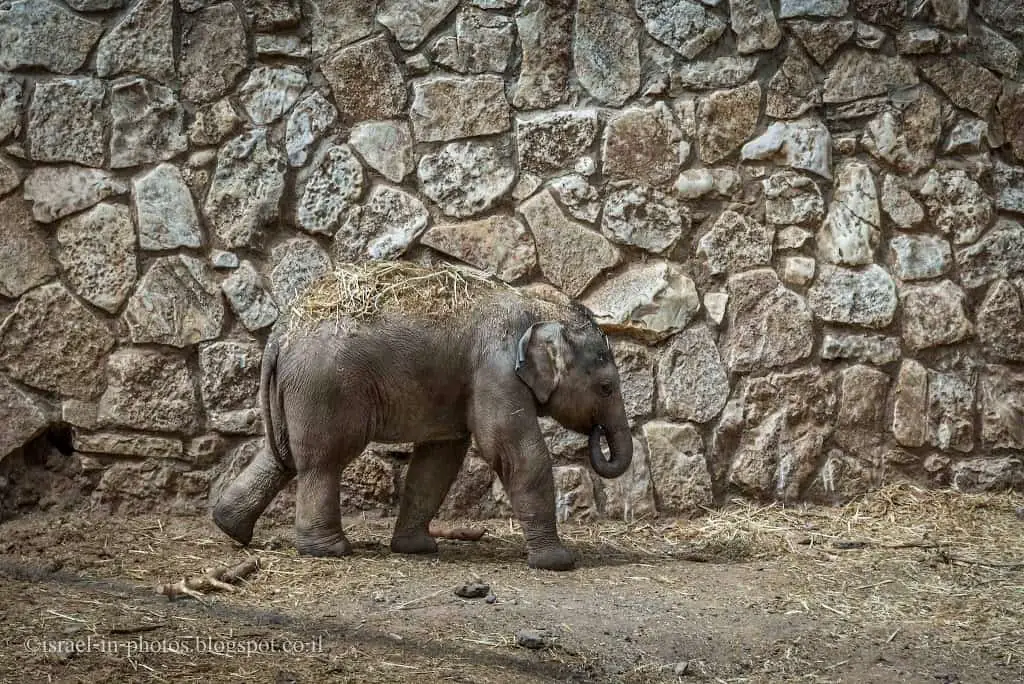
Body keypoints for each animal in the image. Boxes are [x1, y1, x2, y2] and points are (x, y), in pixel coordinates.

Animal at [212, 264, 630, 573]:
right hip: (324, 389)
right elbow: (513, 451)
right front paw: (559, 563)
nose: (596, 434)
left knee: (279, 455)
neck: (540, 306)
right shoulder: (496, 371)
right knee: (322, 461)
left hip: (296, 392)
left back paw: (230, 527)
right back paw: (330, 551)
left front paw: (416, 548)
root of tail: (280, 335)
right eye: (606, 387)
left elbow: (438, 459)